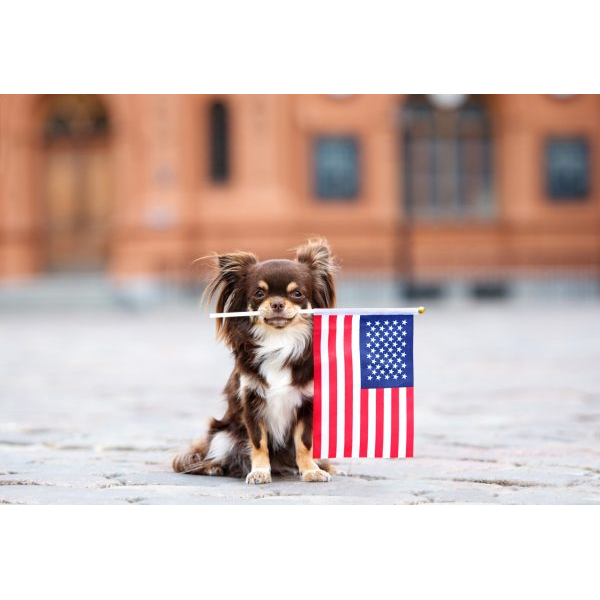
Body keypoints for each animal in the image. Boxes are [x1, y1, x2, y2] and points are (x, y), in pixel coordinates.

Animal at [173, 238, 340, 482]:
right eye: (259, 293)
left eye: (297, 294)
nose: (277, 303)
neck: (279, 341)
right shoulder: (252, 403)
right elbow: (259, 442)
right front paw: (259, 472)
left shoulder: (306, 404)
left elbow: (303, 443)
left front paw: (311, 470)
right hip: (223, 434)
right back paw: (214, 467)